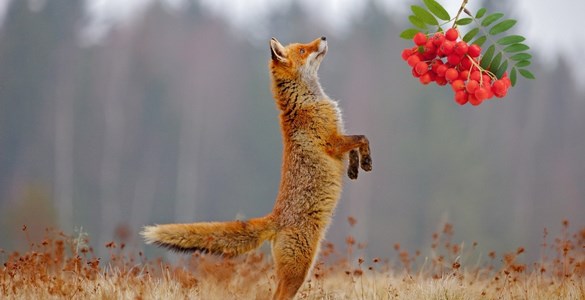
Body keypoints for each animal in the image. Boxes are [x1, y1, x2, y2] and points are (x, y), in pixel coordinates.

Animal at [140, 36, 372, 298]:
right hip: (299, 270)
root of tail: (275, 218)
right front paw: (366, 161)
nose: (323, 37)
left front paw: (354, 168)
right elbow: (362, 138)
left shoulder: (339, 138)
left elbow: (355, 147)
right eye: (303, 50)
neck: (307, 101)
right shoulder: (331, 141)